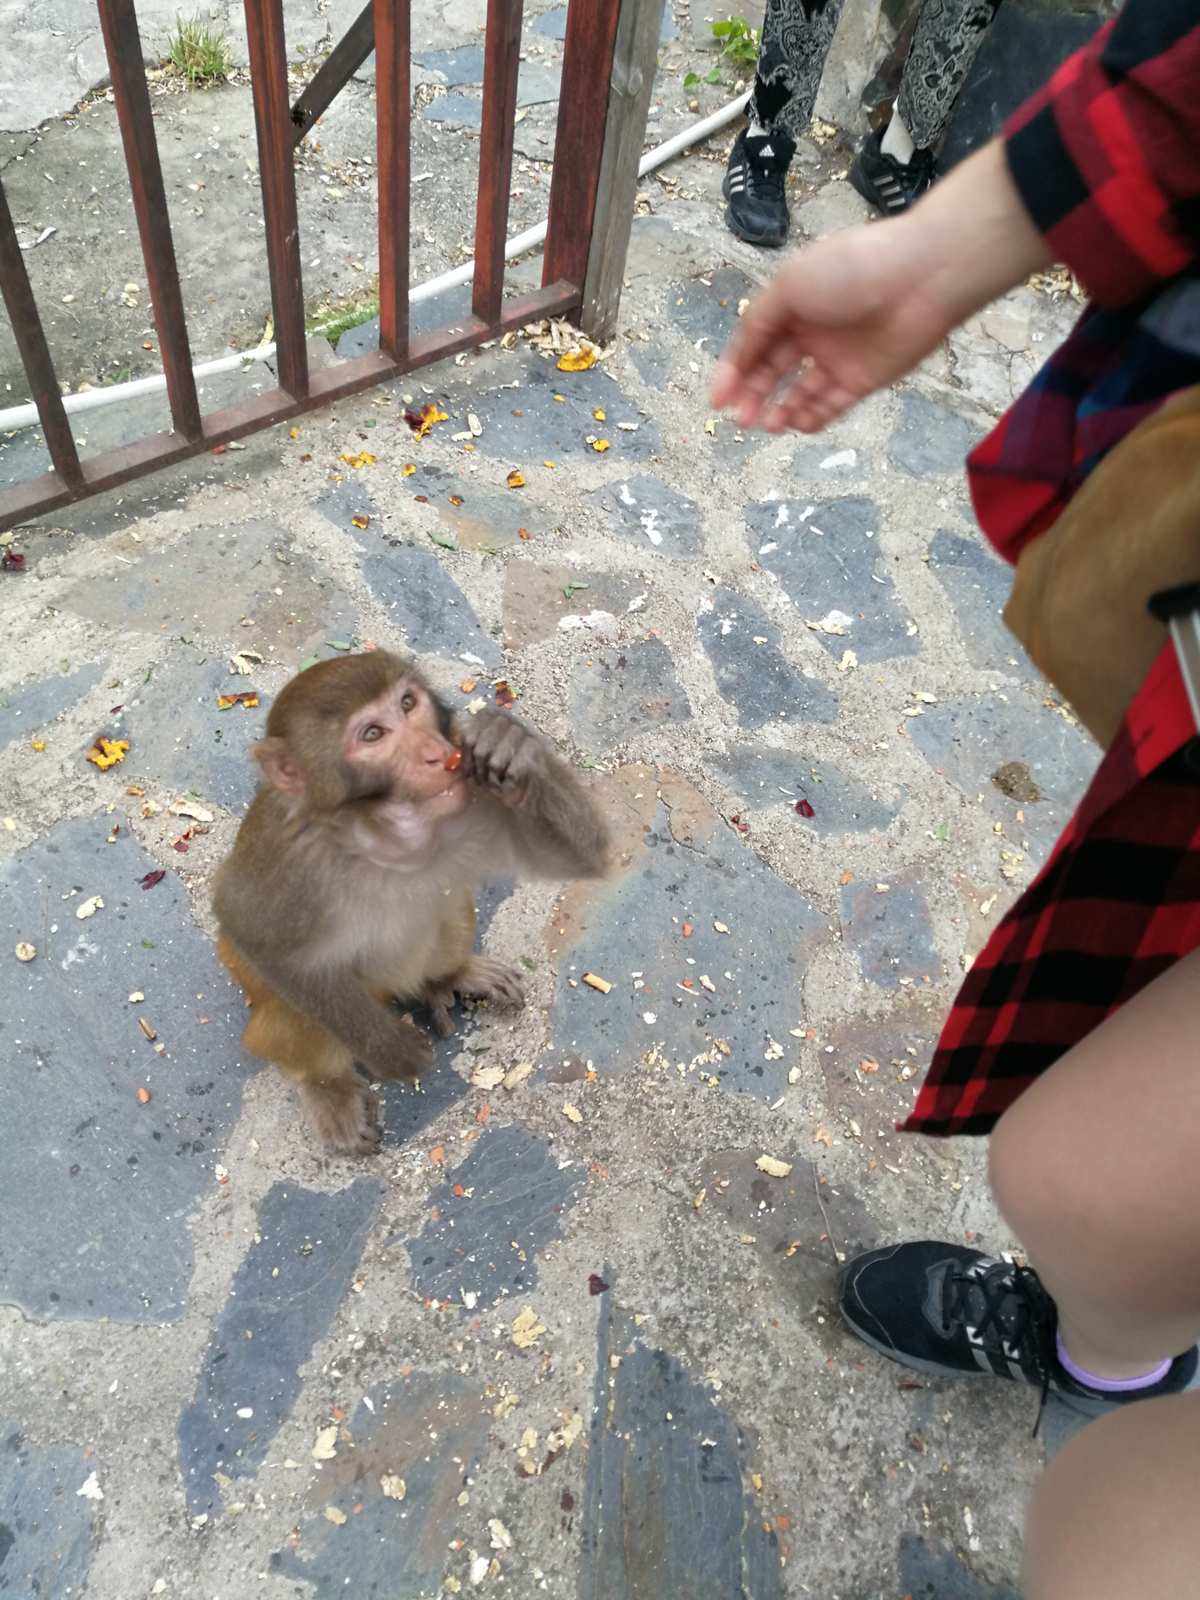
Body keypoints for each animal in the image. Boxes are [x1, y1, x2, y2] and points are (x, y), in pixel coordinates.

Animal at [209, 656, 611, 1158]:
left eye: (407, 703)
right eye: (373, 734)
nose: (435, 754)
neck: (383, 830)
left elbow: (578, 859)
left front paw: (510, 742)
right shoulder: (289, 852)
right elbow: (249, 929)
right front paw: (390, 1050)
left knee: (446, 904)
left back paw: (447, 977)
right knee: (292, 1007)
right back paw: (327, 1087)